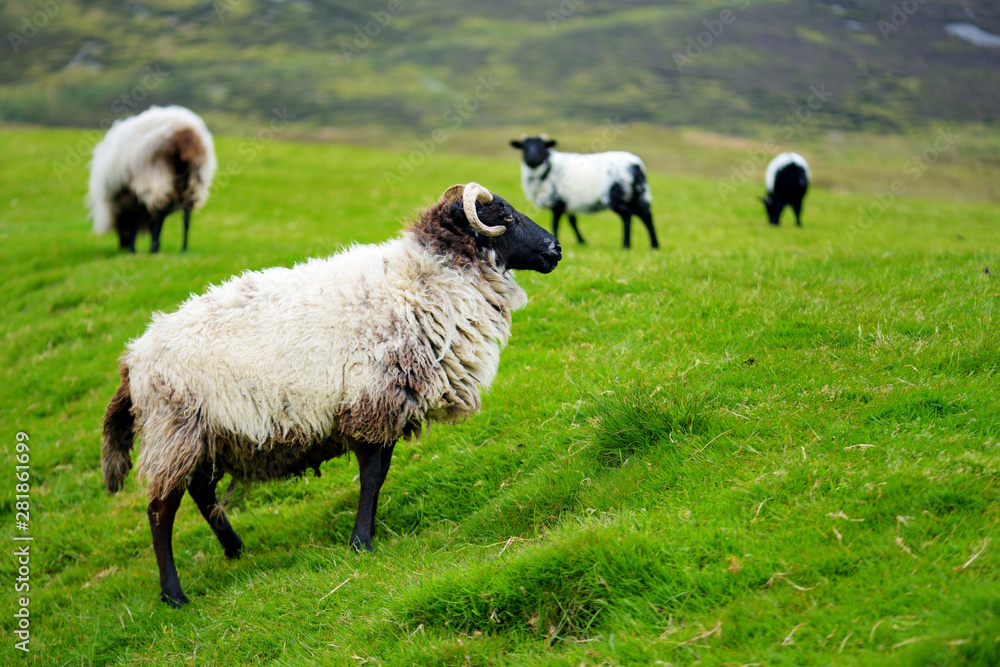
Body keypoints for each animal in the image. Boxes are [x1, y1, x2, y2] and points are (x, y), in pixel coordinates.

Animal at [89, 105, 216, 253]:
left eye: (119, 228)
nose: (122, 247)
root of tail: (184, 134)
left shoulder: (131, 197)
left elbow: (135, 221)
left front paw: (133, 249)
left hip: (156, 174)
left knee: (161, 209)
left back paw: (153, 249)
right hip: (195, 178)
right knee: (186, 212)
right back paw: (183, 249)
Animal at [101, 182, 562, 607]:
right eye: (505, 215)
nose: (556, 249)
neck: (422, 283)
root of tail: (134, 357)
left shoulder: (387, 408)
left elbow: (379, 475)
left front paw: (367, 532)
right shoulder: (372, 401)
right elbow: (372, 476)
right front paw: (362, 542)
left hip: (210, 435)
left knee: (201, 492)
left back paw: (235, 550)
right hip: (173, 431)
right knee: (160, 511)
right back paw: (173, 594)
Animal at [510, 135, 659, 249]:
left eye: (543, 146)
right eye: (524, 147)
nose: (532, 159)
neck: (548, 168)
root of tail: (635, 165)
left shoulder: (558, 201)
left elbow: (555, 222)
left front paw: (556, 239)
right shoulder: (570, 202)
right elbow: (573, 221)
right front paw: (582, 242)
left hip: (617, 195)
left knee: (627, 216)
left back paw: (626, 245)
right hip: (638, 194)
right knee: (646, 215)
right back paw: (654, 245)